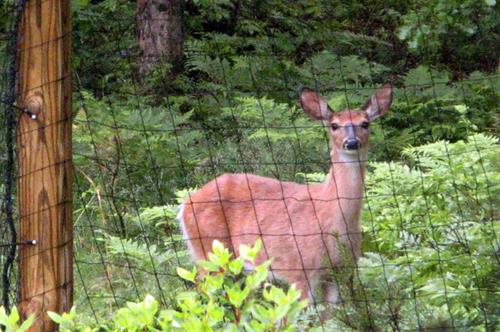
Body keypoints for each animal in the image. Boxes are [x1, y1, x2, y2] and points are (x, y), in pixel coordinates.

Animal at [178, 83, 392, 306]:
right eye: (334, 125)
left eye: (365, 123)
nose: (351, 142)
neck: (331, 219)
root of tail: (185, 204)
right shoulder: (299, 268)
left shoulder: (338, 272)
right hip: (209, 251)